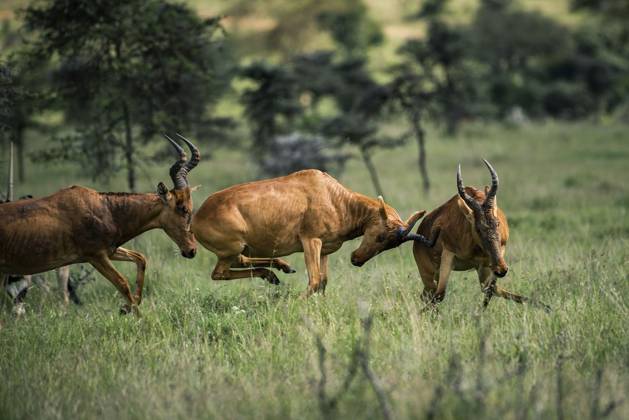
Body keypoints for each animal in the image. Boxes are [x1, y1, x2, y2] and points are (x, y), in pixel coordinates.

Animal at [0, 133, 200, 314]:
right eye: (182, 208)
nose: (191, 250)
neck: (104, 207)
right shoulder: (96, 256)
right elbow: (122, 283)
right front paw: (137, 317)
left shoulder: (109, 251)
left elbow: (140, 258)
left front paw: (126, 308)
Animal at [194, 168, 440, 296]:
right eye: (381, 236)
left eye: (390, 245)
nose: (356, 260)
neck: (333, 195)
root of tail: (197, 216)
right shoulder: (310, 241)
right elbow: (313, 280)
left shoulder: (325, 250)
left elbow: (322, 281)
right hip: (231, 249)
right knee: (219, 273)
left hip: (238, 250)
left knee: (240, 262)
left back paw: (279, 270)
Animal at [410, 159, 548, 310]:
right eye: (478, 228)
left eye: (497, 223)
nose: (501, 270)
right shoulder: (448, 254)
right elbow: (440, 294)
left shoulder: (492, 258)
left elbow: (490, 288)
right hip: (428, 273)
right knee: (429, 295)